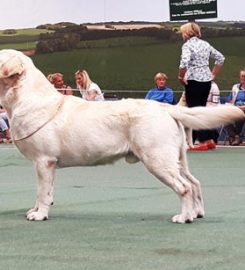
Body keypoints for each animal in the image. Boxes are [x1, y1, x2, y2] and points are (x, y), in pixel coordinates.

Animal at [0, 49, 243, 224]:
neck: (25, 98)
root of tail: (165, 108)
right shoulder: (46, 165)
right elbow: (46, 192)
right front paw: (36, 209)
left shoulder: (44, 161)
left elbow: (42, 192)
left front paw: (39, 214)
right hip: (175, 158)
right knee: (194, 183)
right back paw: (196, 213)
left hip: (158, 160)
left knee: (184, 187)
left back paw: (184, 217)